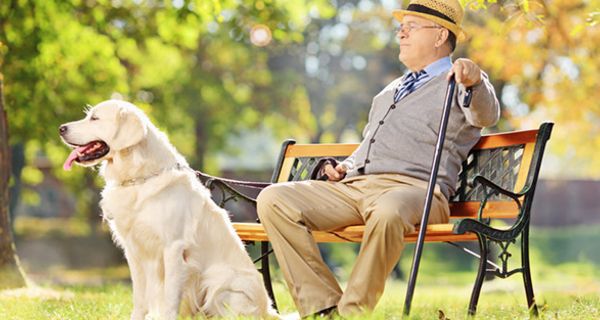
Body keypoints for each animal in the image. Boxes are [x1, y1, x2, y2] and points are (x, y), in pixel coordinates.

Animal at [61, 99, 276, 318]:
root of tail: (268, 310)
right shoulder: (133, 249)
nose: (61, 129)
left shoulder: (173, 247)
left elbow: (170, 296)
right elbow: (139, 297)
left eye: (95, 118)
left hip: (220, 282)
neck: (139, 178)